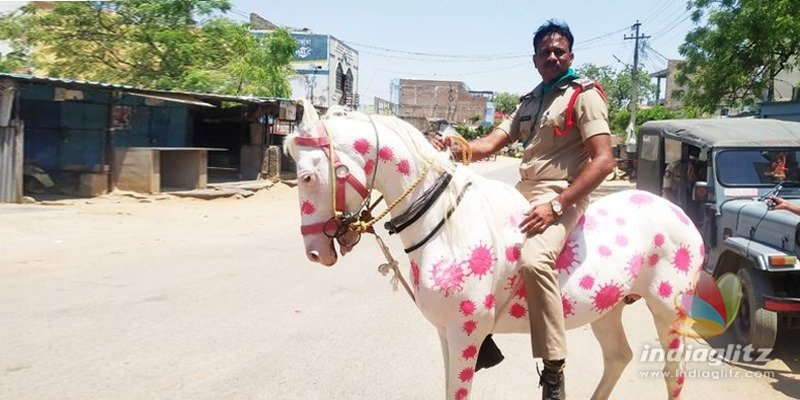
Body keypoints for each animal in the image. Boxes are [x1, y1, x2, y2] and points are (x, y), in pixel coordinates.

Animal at [284, 101, 704, 400]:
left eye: (306, 176)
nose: (314, 252)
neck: (448, 227)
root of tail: (680, 213)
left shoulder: (466, 332)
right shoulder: (446, 334)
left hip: (668, 310)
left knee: (674, 375)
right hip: (607, 307)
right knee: (618, 357)